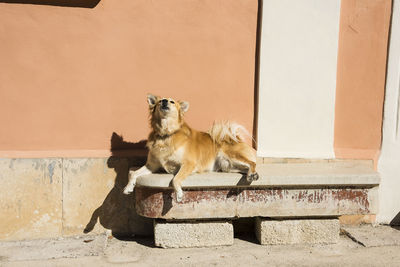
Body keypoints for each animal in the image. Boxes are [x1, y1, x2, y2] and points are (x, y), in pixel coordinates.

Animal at [123, 95, 258, 202]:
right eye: (160, 100)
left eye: (172, 101)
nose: (165, 101)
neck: (166, 134)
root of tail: (234, 138)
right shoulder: (152, 166)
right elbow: (133, 173)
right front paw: (128, 187)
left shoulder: (188, 163)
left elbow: (175, 179)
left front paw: (179, 194)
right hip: (227, 166)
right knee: (244, 168)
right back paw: (251, 175)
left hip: (231, 155)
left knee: (252, 163)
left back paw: (252, 173)